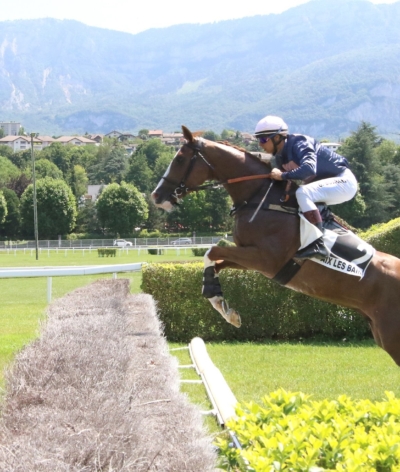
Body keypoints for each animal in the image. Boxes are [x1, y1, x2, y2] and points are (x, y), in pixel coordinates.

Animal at [151, 124, 400, 366]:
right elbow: (215, 260)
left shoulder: (266, 259)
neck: (258, 198)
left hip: (391, 336)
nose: (156, 196)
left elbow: (212, 251)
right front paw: (222, 305)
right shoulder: (252, 257)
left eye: (179, 159)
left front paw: (217, 298)